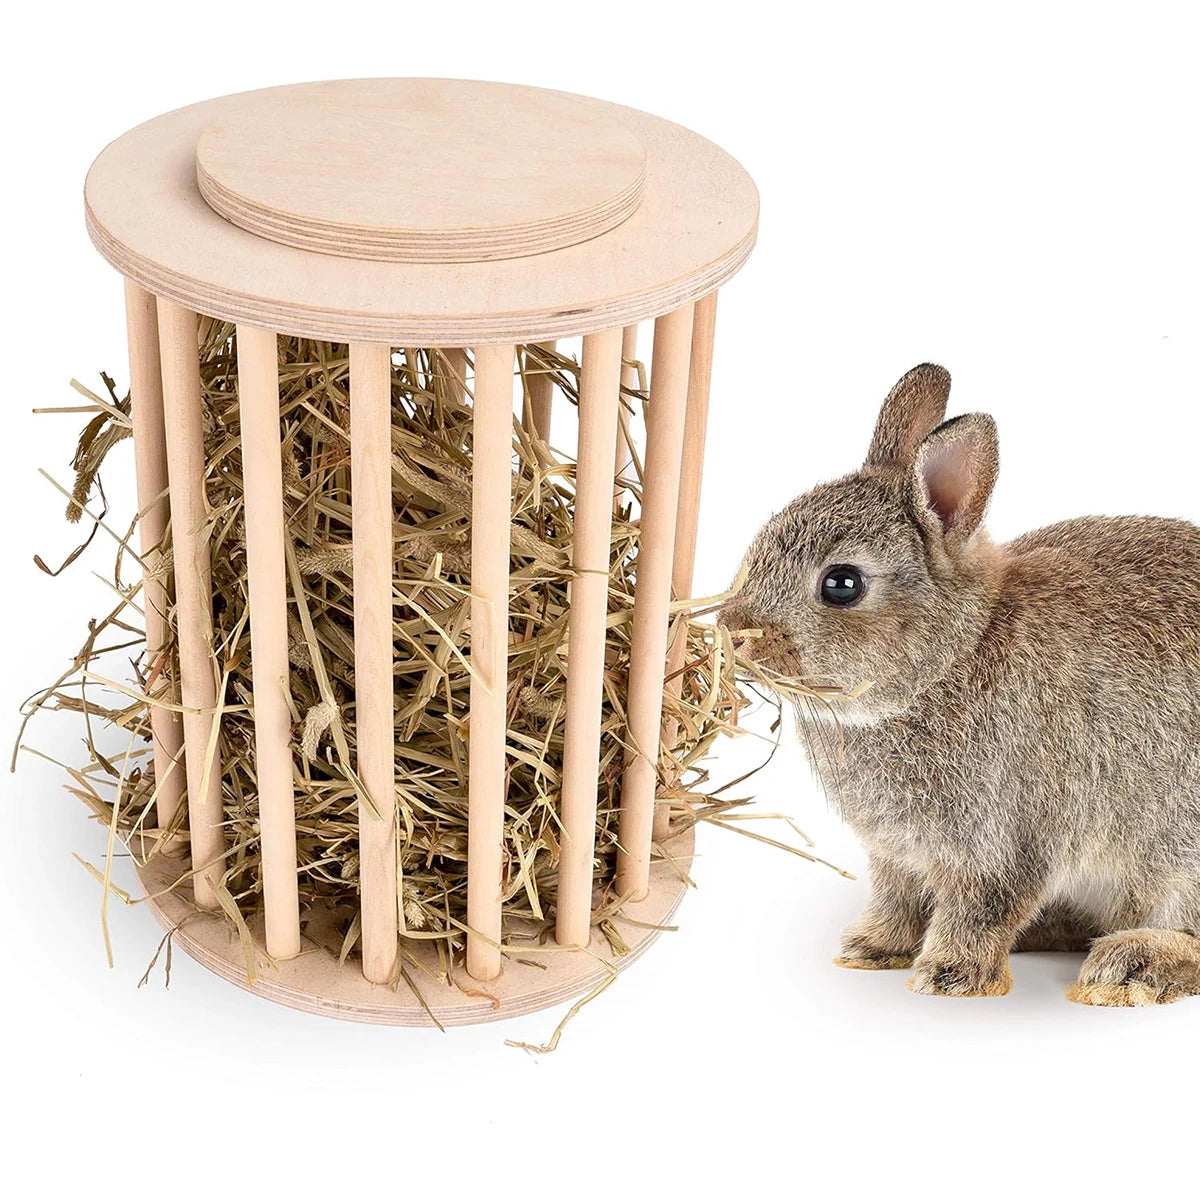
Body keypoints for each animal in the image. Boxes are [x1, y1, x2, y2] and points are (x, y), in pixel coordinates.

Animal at [719, 364, 1200, 1005]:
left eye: (842, 583)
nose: (731, 631)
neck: (952, 660)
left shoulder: (1005, 841)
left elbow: (981, 909)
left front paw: (948, 976)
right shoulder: (899, 854)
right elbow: (896, 899)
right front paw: (871, 950)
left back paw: (1129, 965)